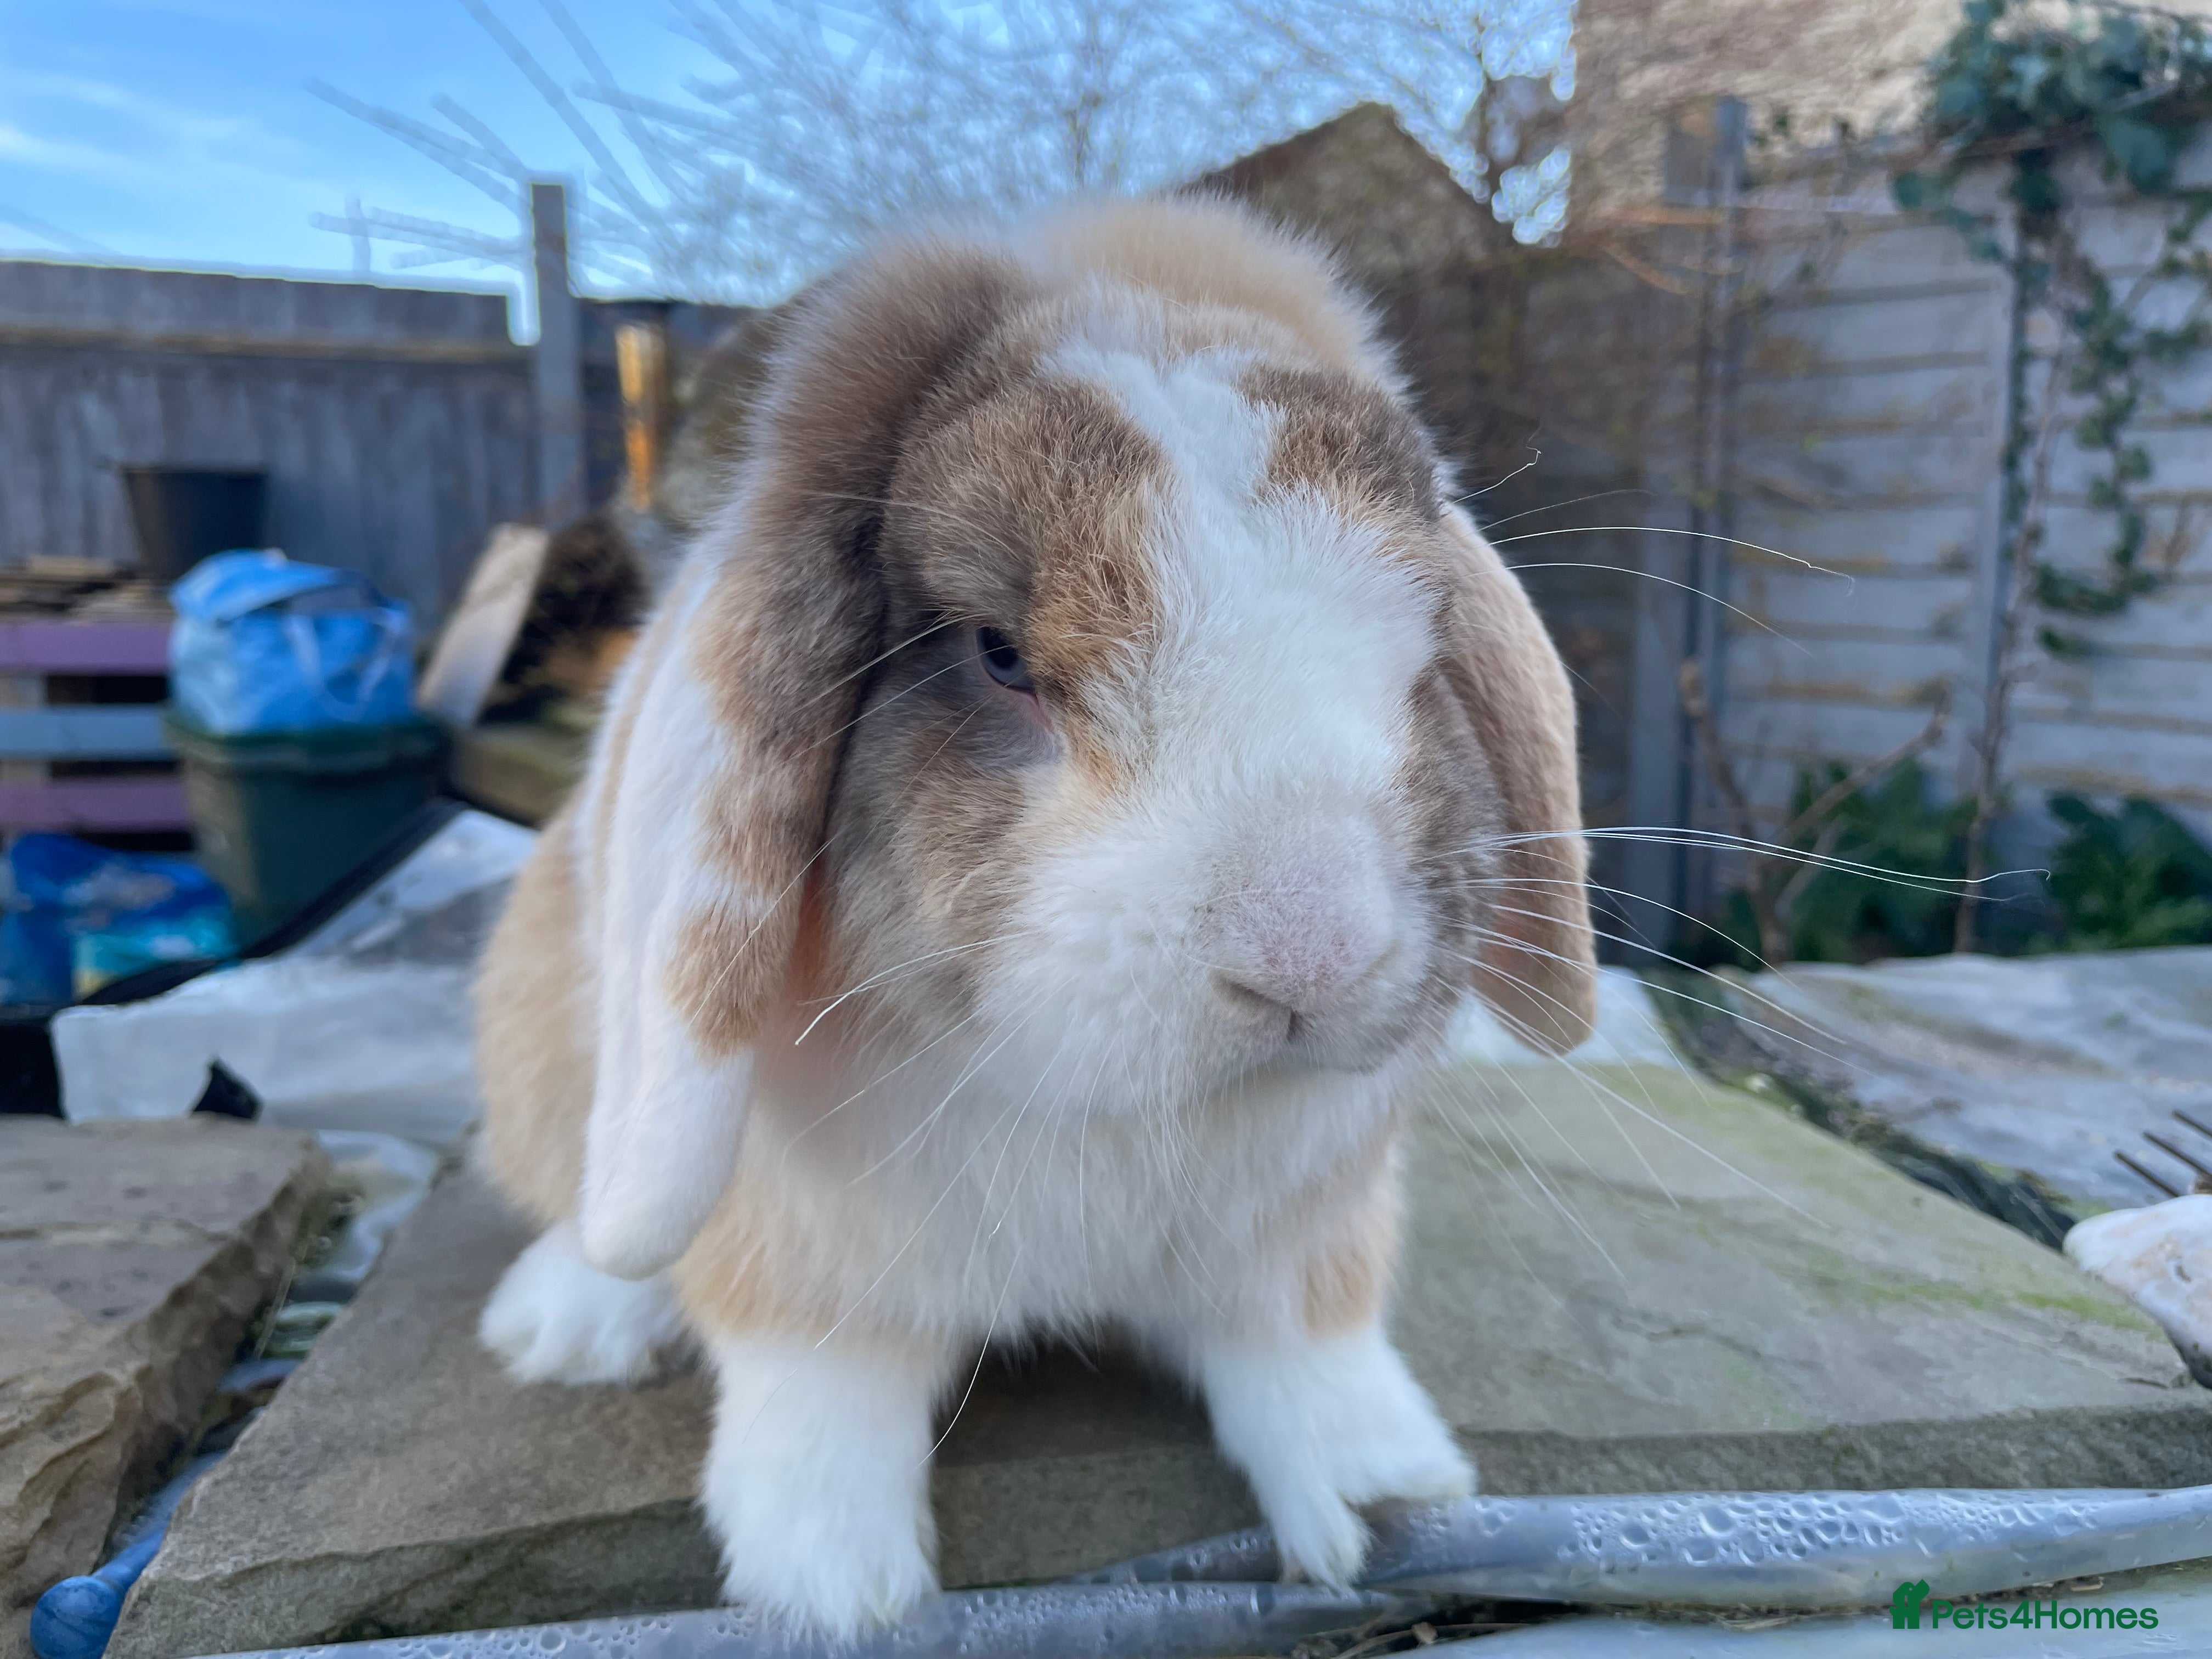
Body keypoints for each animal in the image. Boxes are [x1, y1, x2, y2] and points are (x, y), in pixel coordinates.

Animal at [471, 193, 1596, 1640]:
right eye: (999, 654)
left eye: (1422, 643)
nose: (1314, 955)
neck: (1102, 1114)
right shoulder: (802, 1265)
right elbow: (821, 1400)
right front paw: (836, 1592)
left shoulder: (1302, 1241)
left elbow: (1307, 1350)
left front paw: (1388, 1495)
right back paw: (569, 1332)